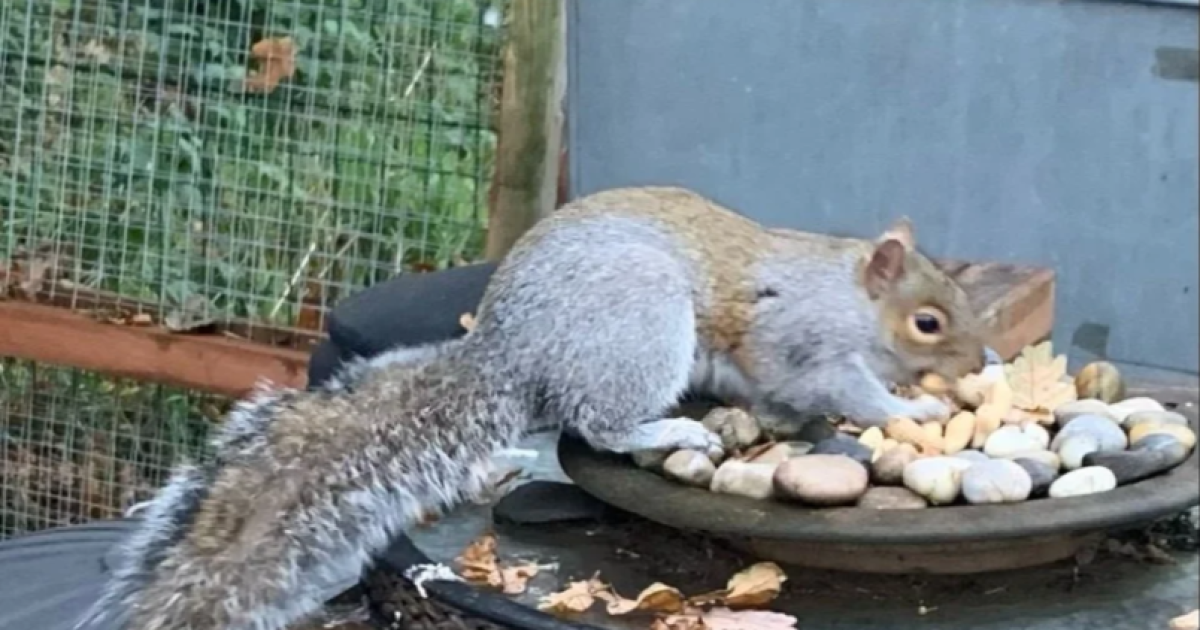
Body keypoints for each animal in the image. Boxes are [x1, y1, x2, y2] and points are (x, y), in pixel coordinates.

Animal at [76, 185, 986, 630]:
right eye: (929, 322)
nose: (980, 362)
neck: (849, 296)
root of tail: (513, 352)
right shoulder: (803, 339)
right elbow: (838, 386)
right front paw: (915, 412)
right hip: (639, 326)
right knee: (601, 422)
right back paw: (669, 424)